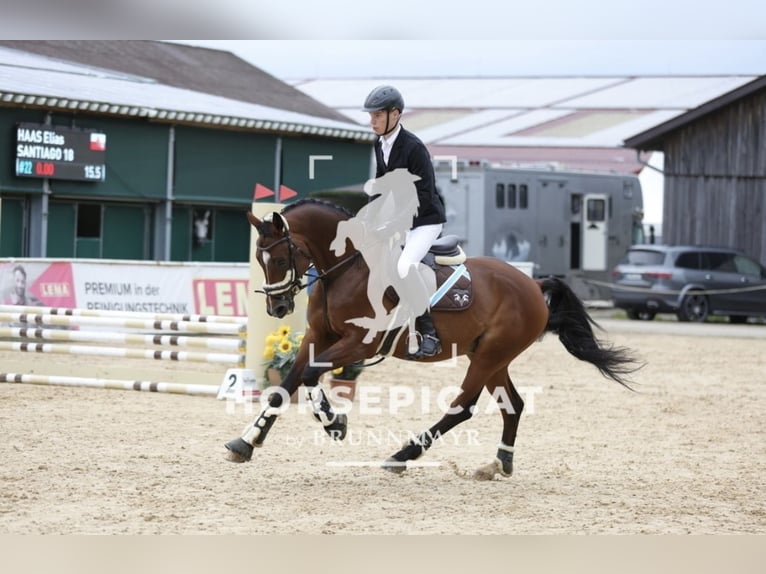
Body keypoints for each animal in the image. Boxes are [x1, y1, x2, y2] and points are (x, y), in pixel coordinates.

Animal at [224, 198, 641, 479]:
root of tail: (534, 285)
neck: (346, 270)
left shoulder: (361, 342)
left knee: (463, 407)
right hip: (491, 356)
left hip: (489, 356)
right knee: (514, 405)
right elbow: (284, 387)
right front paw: (246, 442)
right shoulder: (317, 335)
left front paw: (334, 423)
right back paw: (499, 463)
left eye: (281, 258)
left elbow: (311, 375)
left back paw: (402, 455)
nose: (278, 308)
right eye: (260, 260)